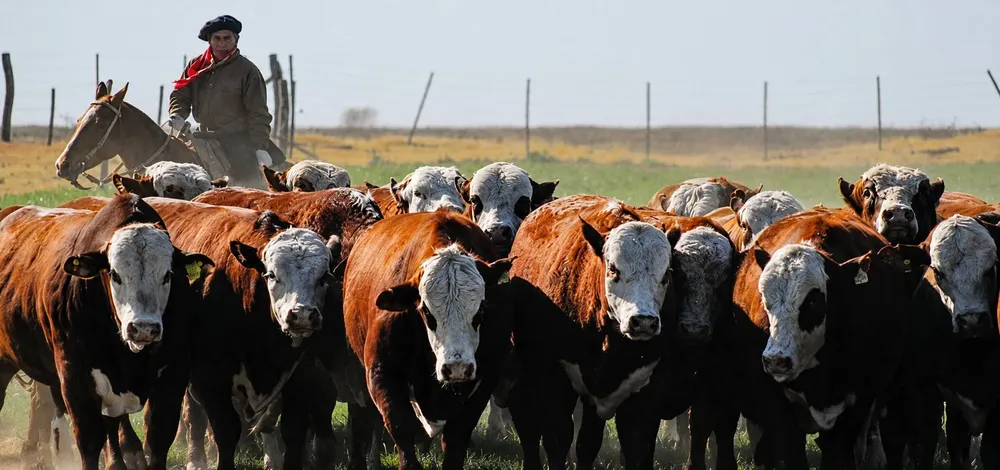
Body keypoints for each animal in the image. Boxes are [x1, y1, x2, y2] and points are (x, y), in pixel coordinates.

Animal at [0, 194, 214, 470]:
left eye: (167, 274)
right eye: (114, 274)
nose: (143, 328)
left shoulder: (172, 375)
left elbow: (158, 440)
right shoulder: (76, 379)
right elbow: (90, 443)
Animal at [342, 209, 513, 470]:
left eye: (481, 308)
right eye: (425, 311)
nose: (457, 367)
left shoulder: (483, 381)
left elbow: (456, 439)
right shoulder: (382, 374)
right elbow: (401, 429)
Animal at [500, 195, 685, 470]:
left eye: (665, 275)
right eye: (613, 269)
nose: (643, 322)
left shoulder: (645, 388)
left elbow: (634, 446)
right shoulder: (554, 377)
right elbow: (557, 438)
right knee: (527, 422)